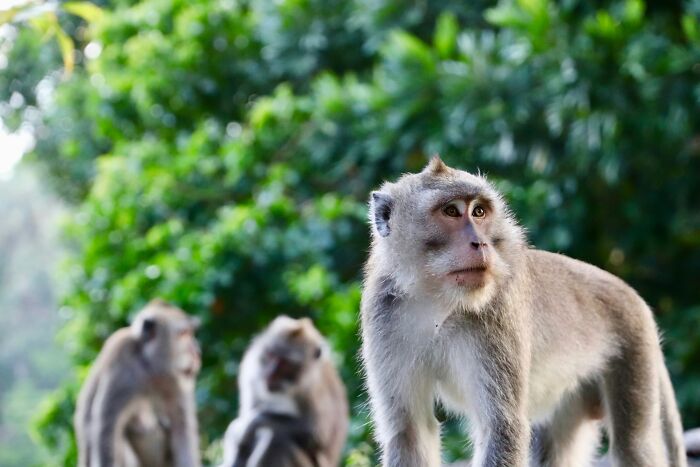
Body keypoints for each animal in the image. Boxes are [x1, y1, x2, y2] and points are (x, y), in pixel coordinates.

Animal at [74, 299, 201, 467]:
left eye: (190, 333)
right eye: (183, 334)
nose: (197, 352)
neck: (149, 368)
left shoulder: (176, 382)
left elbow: (181, 426)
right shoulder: (121, 360)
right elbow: (107, 427)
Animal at [220, 316, 349, 467]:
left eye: (285, 364)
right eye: (271, 355)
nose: (270, 374)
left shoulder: (312, 388)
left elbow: (315, 434)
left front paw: (252, 424)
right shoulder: (251, 374)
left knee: (278, 439)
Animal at [360, 156, 686, 467]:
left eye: (479, 212)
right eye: (451, 211)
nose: (480, 243)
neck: (437, 301)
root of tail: (631, 294)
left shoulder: (497, 312)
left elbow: (502, 427)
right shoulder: (382, 316)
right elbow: (409, 431)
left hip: (633, 346)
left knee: (633, 445)